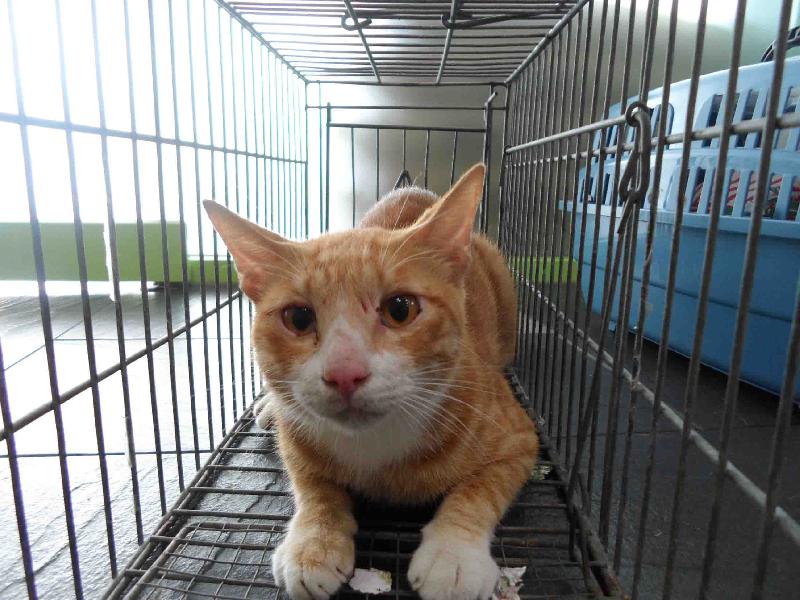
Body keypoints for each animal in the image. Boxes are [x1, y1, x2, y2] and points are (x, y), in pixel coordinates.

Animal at [203, 163, 539, 600]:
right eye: (298, 318)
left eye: (400, 309)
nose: (345, 372)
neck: (375, 446)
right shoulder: (296, 440)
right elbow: (312, 485)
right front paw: (314, 542)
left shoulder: (520, 437)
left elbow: (481, 488)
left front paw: (454, 554)